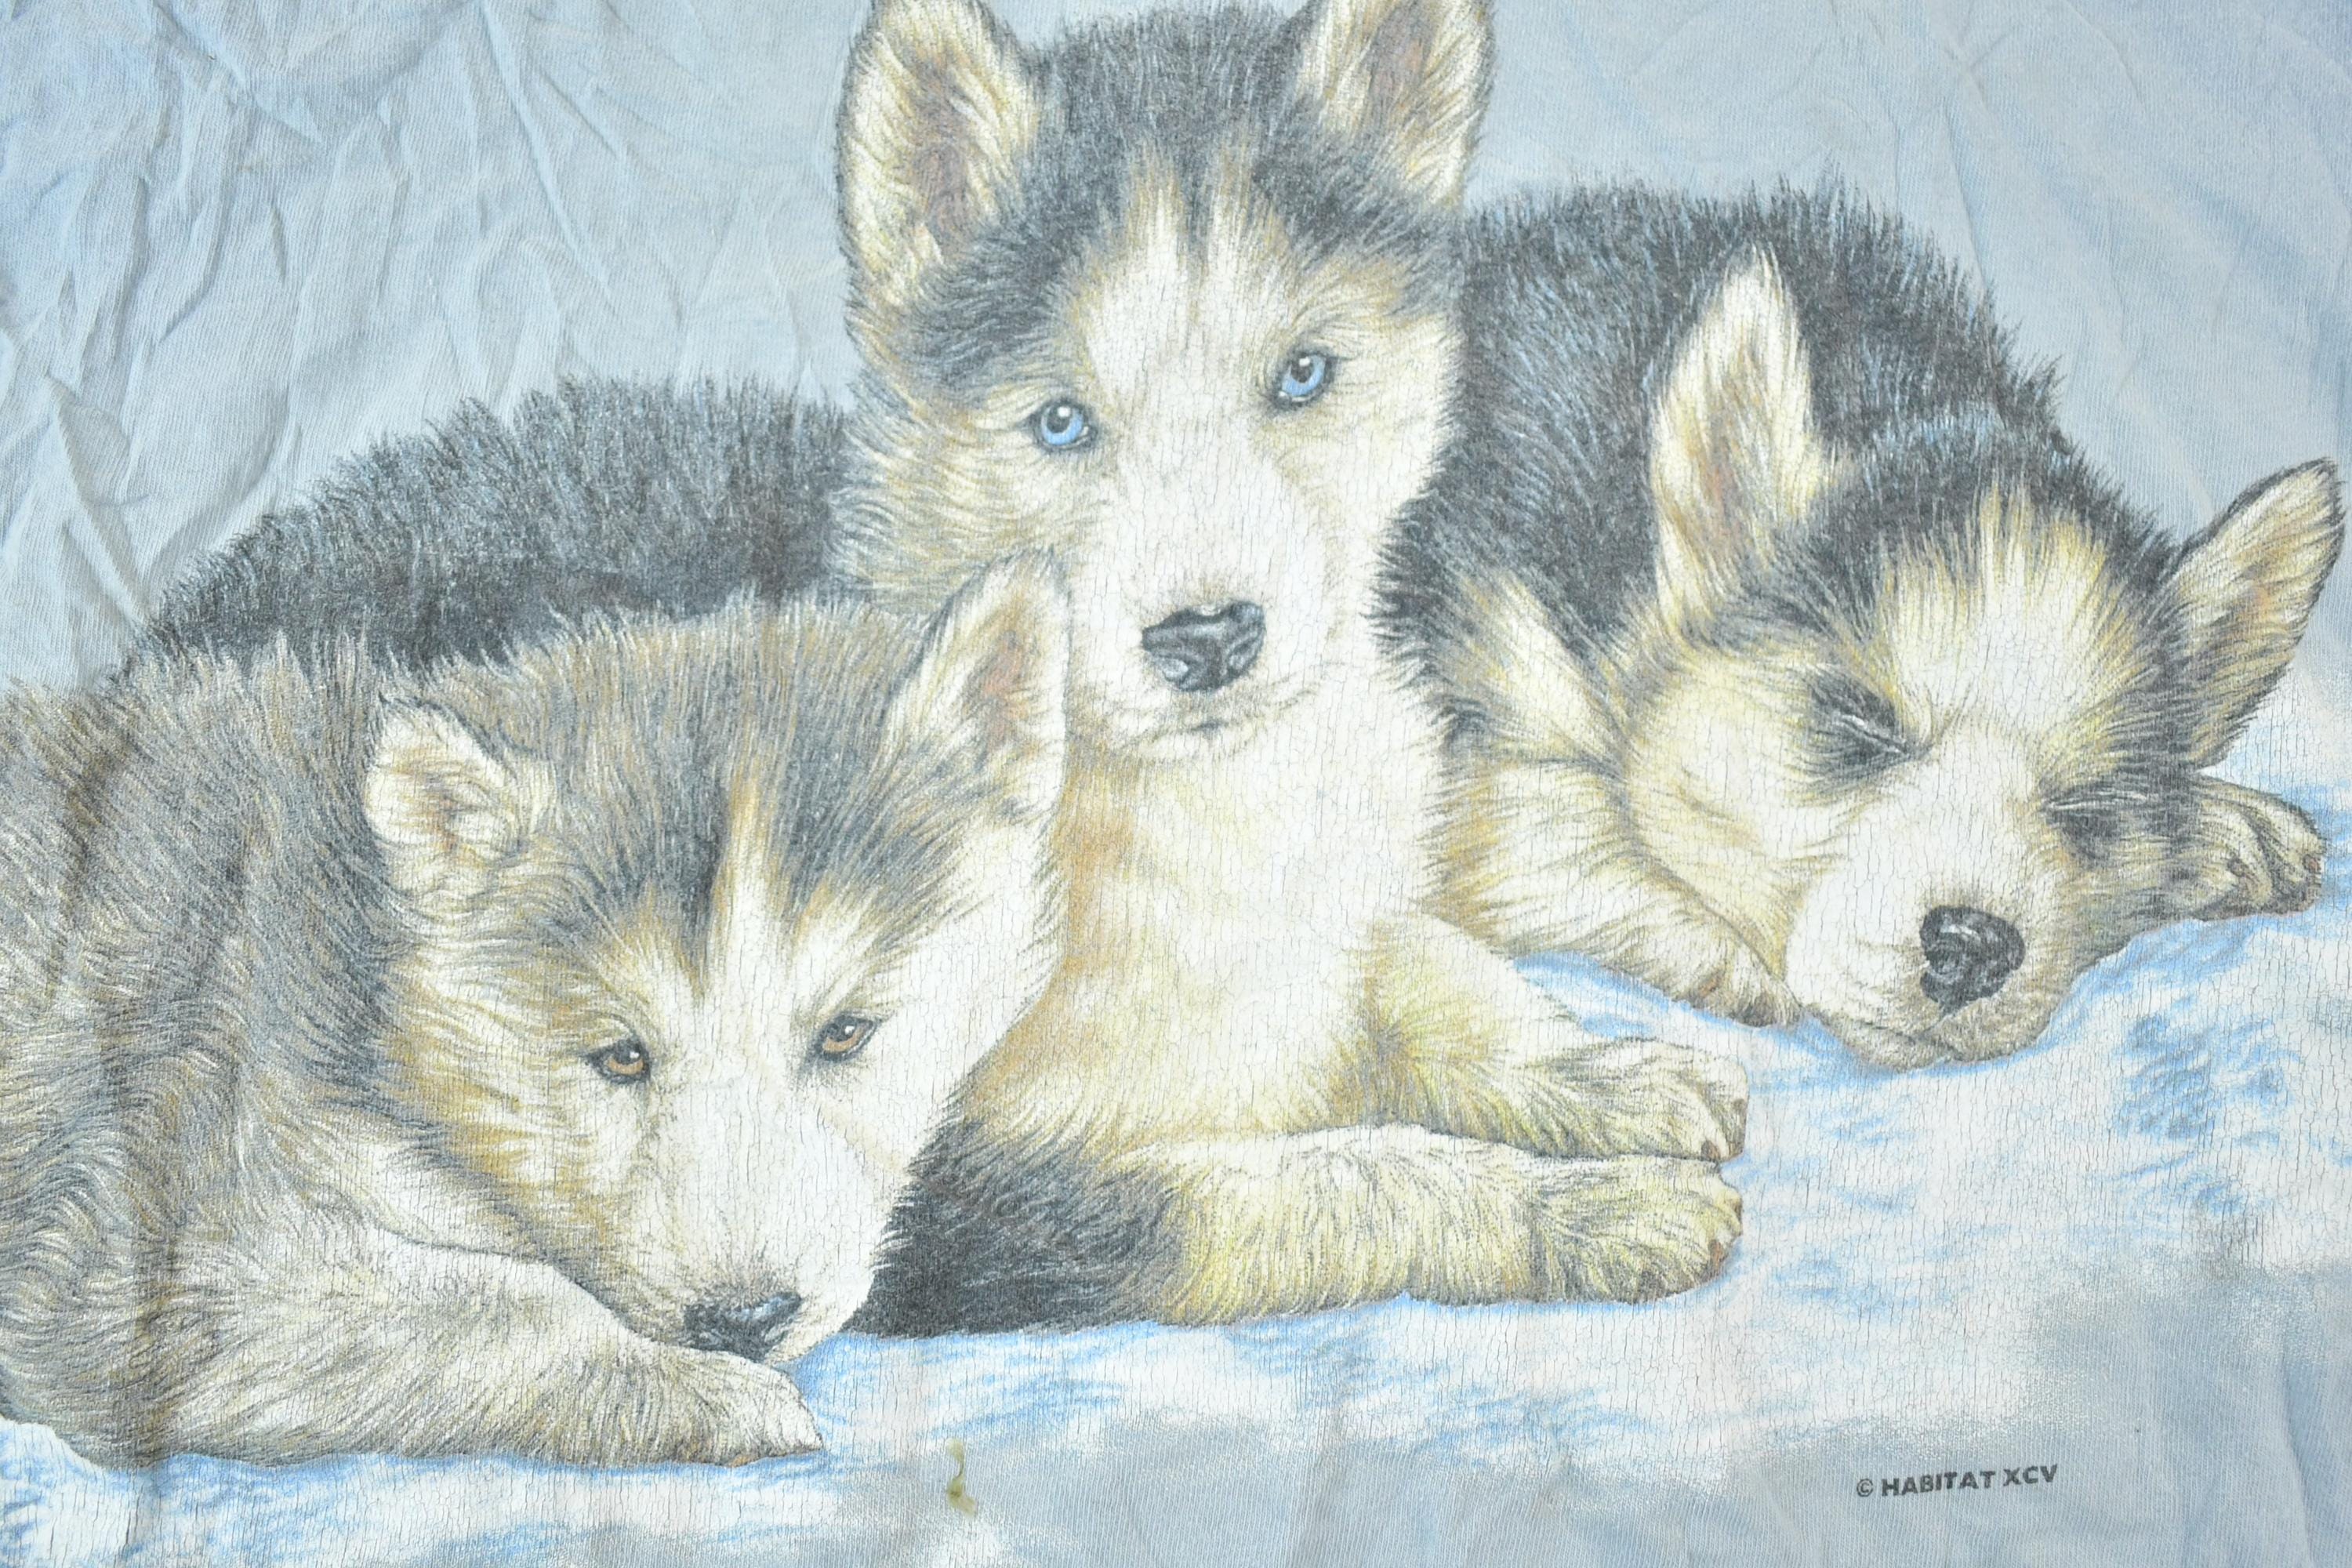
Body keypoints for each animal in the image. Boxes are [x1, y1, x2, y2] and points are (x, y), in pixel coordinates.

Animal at [0, 565, 1068, 1464]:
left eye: (846, 1032)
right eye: (621, 1055)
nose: (745, 1318)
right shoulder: (153, 1263)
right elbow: (504, 1303)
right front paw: (706, 1390)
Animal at [832, 0, 1745, 1334]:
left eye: (1303, 375)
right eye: (1060, 422)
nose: (1207, 637)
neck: (1214, 806)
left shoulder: (1349, 919)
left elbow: (1428, 967)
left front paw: (1601, 1071)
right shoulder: (962, 1200)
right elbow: (1333, 1180)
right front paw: (1581, 1208)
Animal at [1386, 184, 2344, 1070]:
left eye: (2089, 806)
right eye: (1859, 730)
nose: (1972, 945)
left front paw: (2223, 824)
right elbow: (1532, 810)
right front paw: (1707, 940)